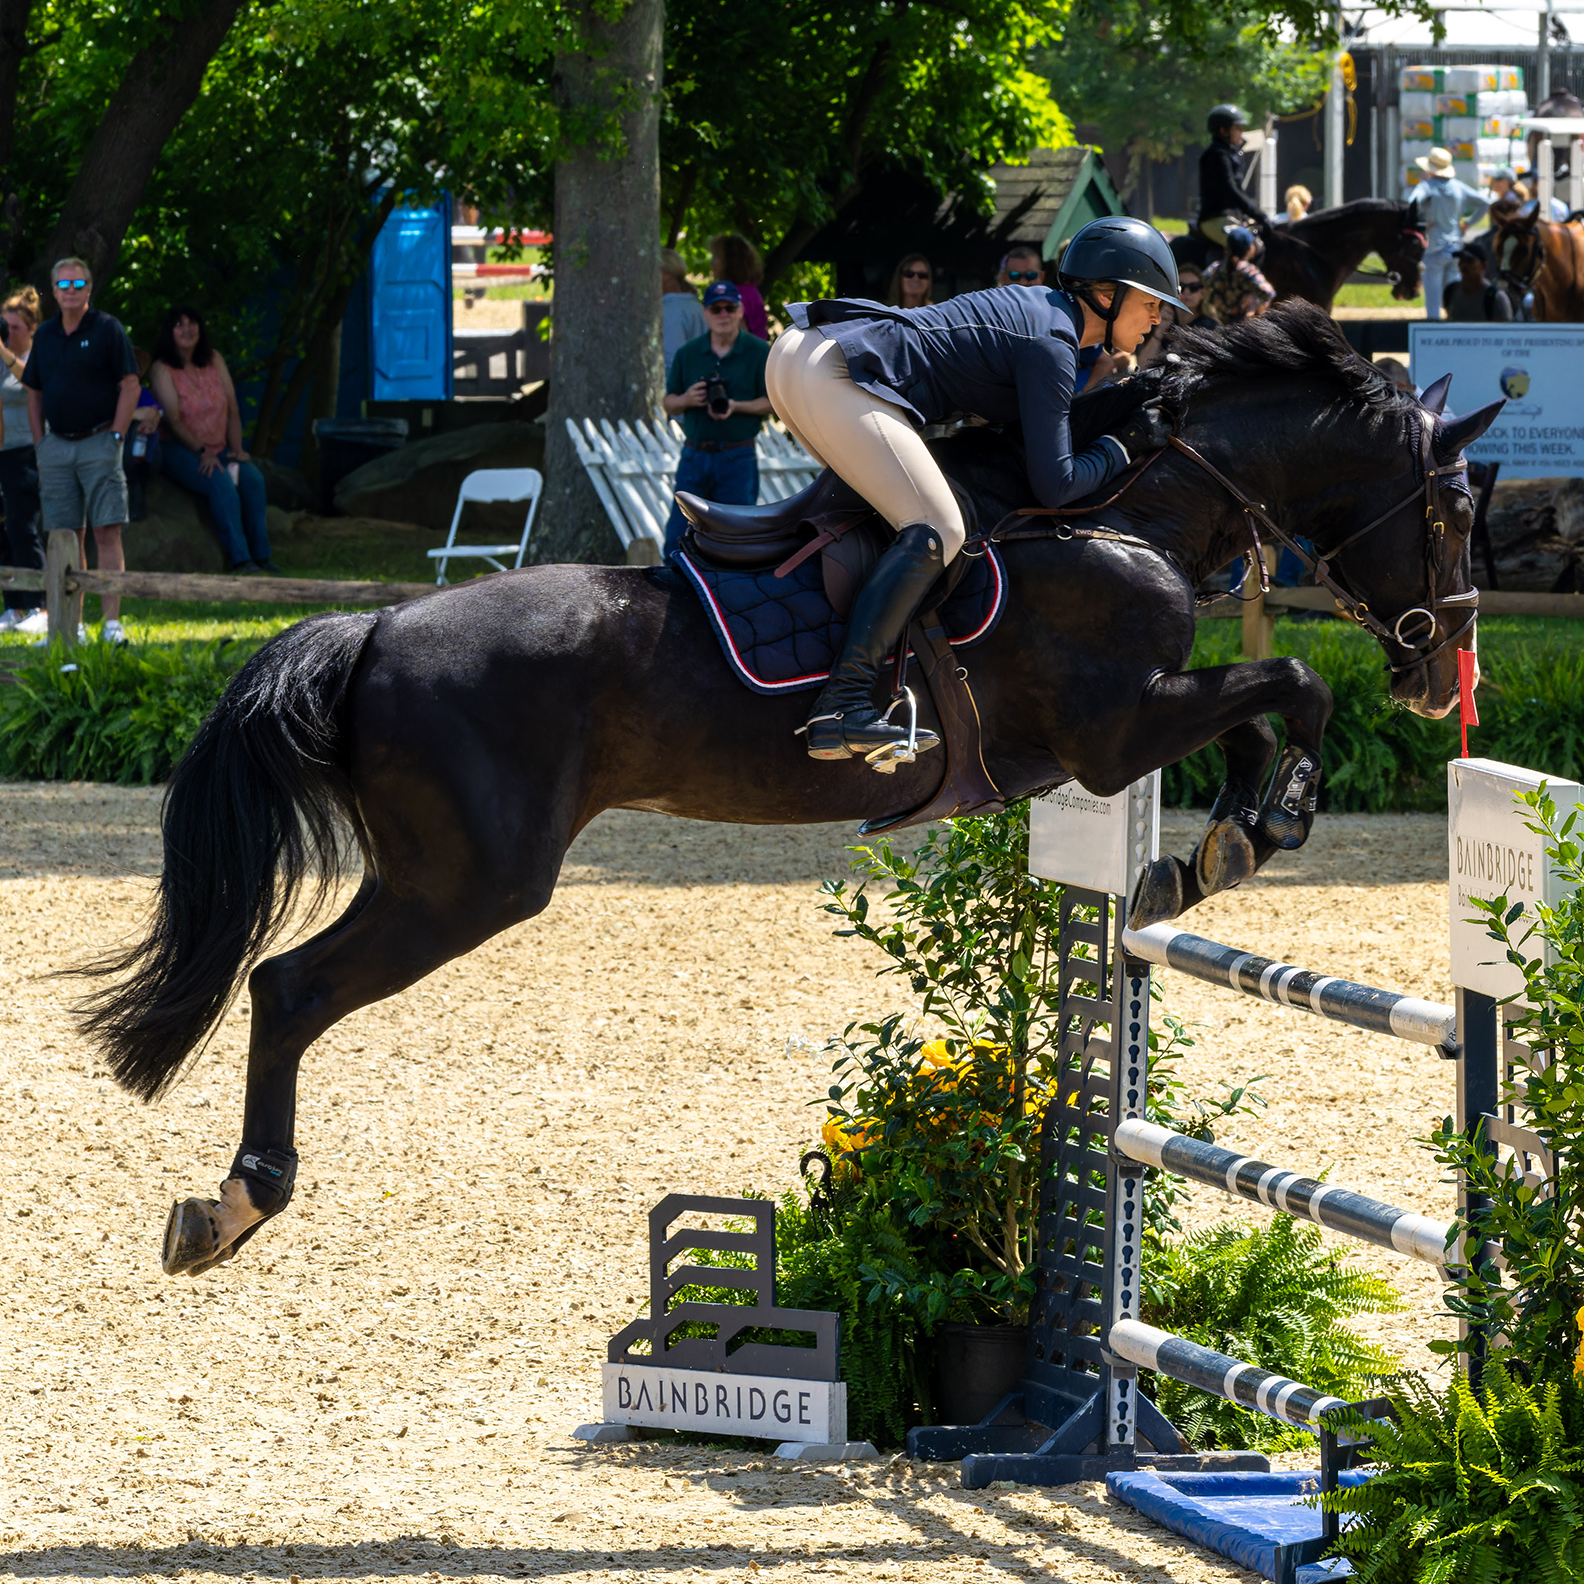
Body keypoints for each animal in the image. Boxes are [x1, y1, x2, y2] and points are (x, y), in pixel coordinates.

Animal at [83, 305, 1495, 1273]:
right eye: (1449, 511)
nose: (1443, 676)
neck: (1131, 505)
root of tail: (373, 626)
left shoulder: (1130, 721)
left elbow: (1263, 702)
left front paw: (1208, 854)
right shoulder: (1113, 726)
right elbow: (1294, 682)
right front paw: (1266, 824)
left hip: (441, 874)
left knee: (284, 986)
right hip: (467, 882)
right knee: (288, 988)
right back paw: (237, 1201)